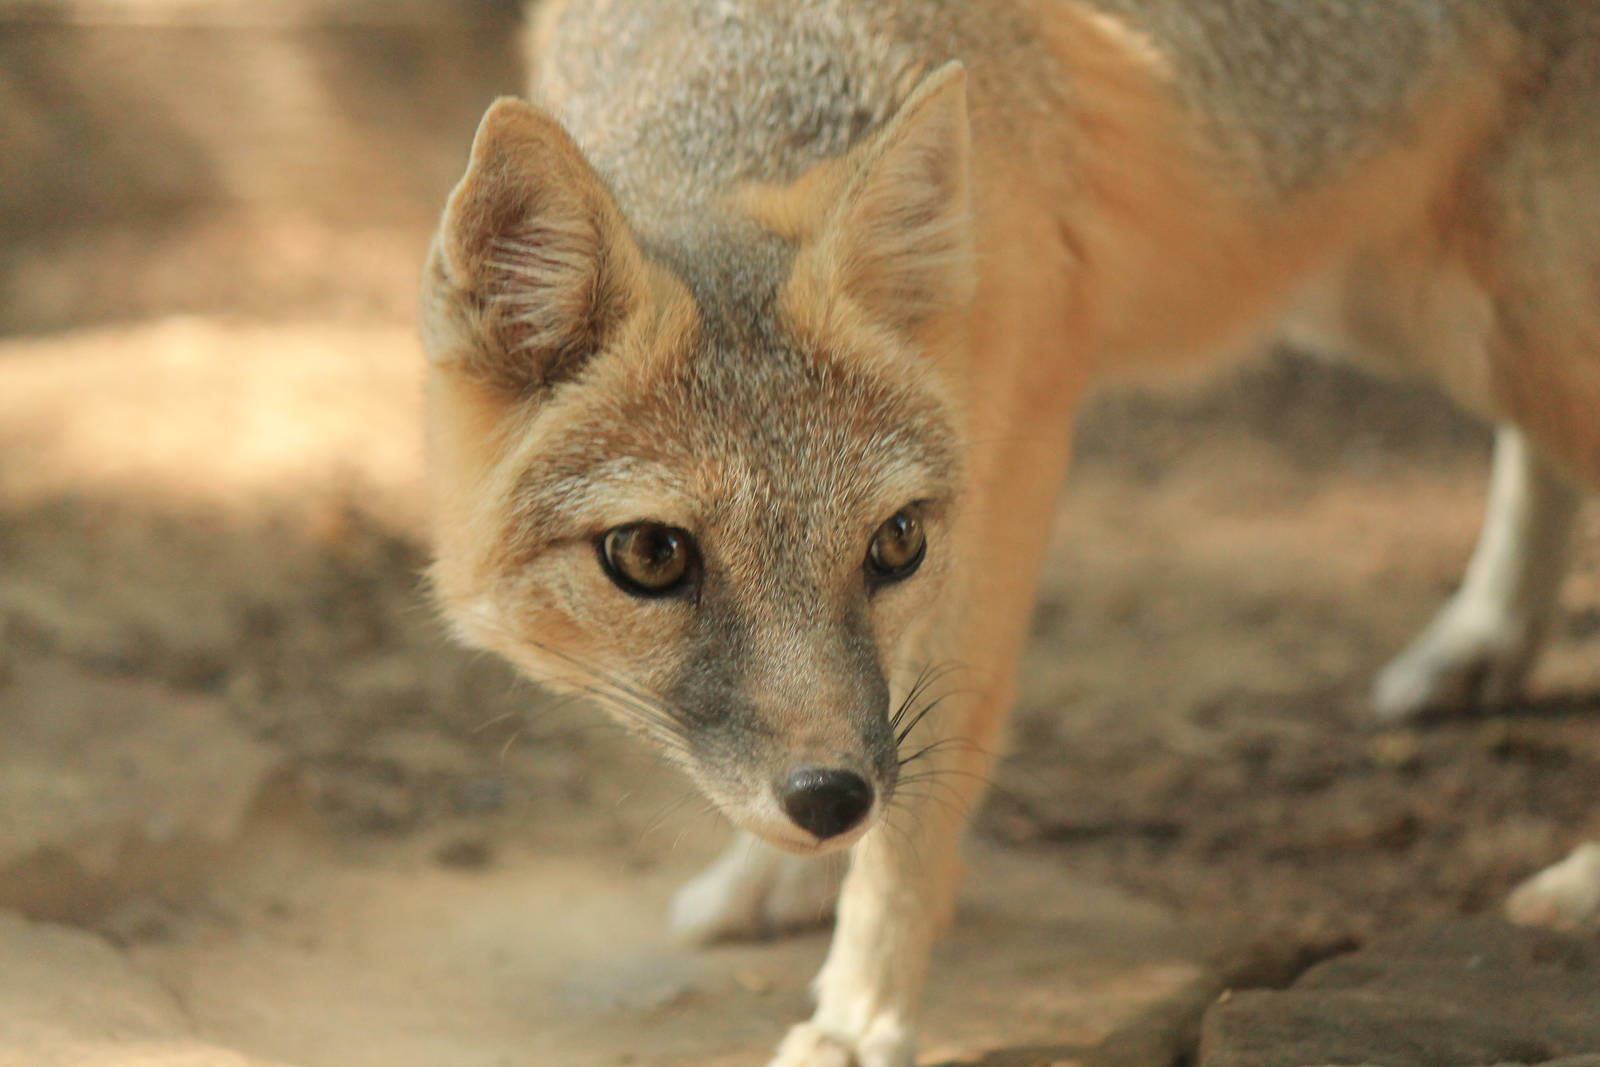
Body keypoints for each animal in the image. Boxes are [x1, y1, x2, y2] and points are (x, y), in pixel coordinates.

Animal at [419, 2, 1600, 1064]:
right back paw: (1491, 636)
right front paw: (786, 873)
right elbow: (877, 729)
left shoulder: (1014, 454)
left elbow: (923, 783)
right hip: (1404, 305)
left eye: (895, 543)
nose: (828, 799)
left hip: (1499, 313)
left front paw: (860, 1012)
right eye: (653, 556)